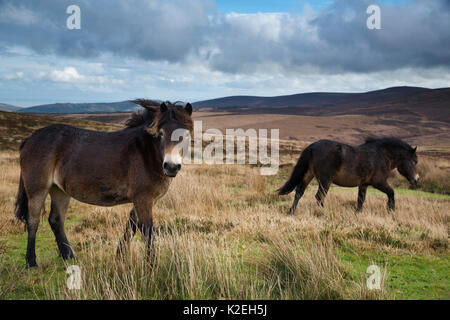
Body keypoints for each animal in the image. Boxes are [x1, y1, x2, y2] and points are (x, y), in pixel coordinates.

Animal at [13, 100, 193, 268]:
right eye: (161, 133)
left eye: (186, 135)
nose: (171, 166)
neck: (147, 153)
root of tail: (29, 139)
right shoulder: (143, 199)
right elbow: (147, 231)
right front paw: (152, 266)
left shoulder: (145, 200)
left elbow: (132, 225)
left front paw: (119, 256)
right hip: (37, 189)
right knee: (33, 220)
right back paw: (31, 262)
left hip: (59, 190)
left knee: (56, 220)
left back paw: (69, 257)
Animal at [280, 138, 420, 215]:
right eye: (414, 161)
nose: (416, 179)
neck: (382, 155)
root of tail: (312, 147)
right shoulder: (379, 182)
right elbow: (391, 192)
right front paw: (391, 210)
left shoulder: (363, 184)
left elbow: (360, 200)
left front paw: (358, 213)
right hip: (325, 180)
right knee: (319, 196)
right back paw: (324, 212)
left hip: (308, 175)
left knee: (299, 192)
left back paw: (291, 211)